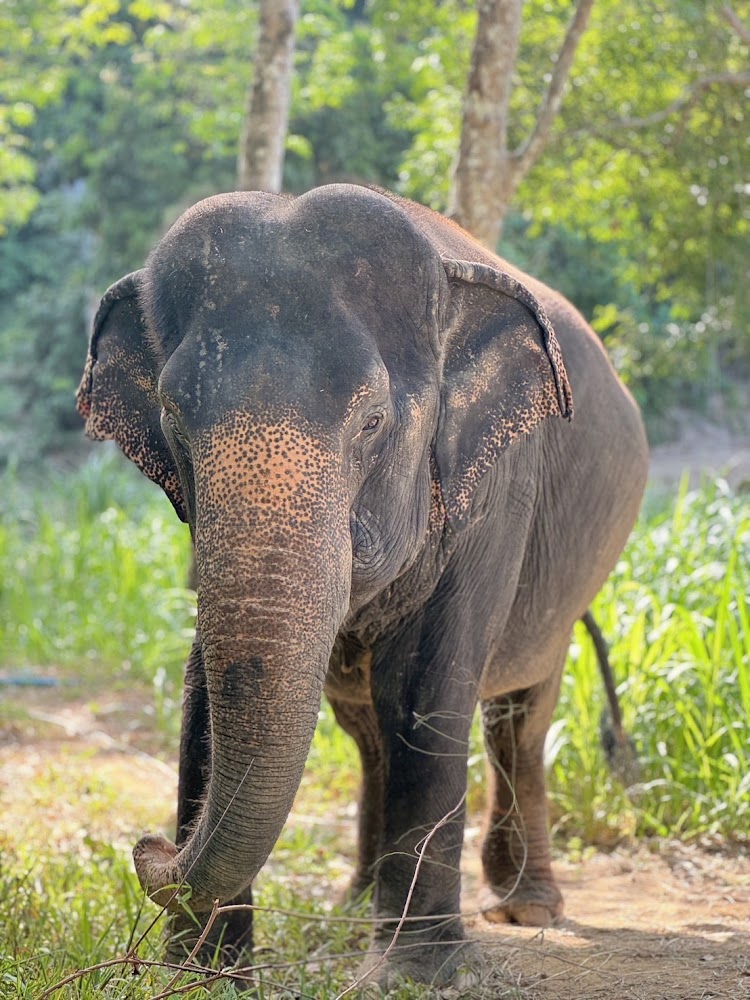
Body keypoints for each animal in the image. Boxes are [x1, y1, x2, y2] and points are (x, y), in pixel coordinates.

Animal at [76, 184, 648, 989]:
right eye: (171, 420)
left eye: (373, 422)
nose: (154, 846)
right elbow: (205, 690)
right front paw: (198, 978)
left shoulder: (497, 486)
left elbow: (426, 685)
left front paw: (415, 976)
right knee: (368, 729)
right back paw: (355, 904)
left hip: (567, 586)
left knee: (519, 715)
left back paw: (527, 907)